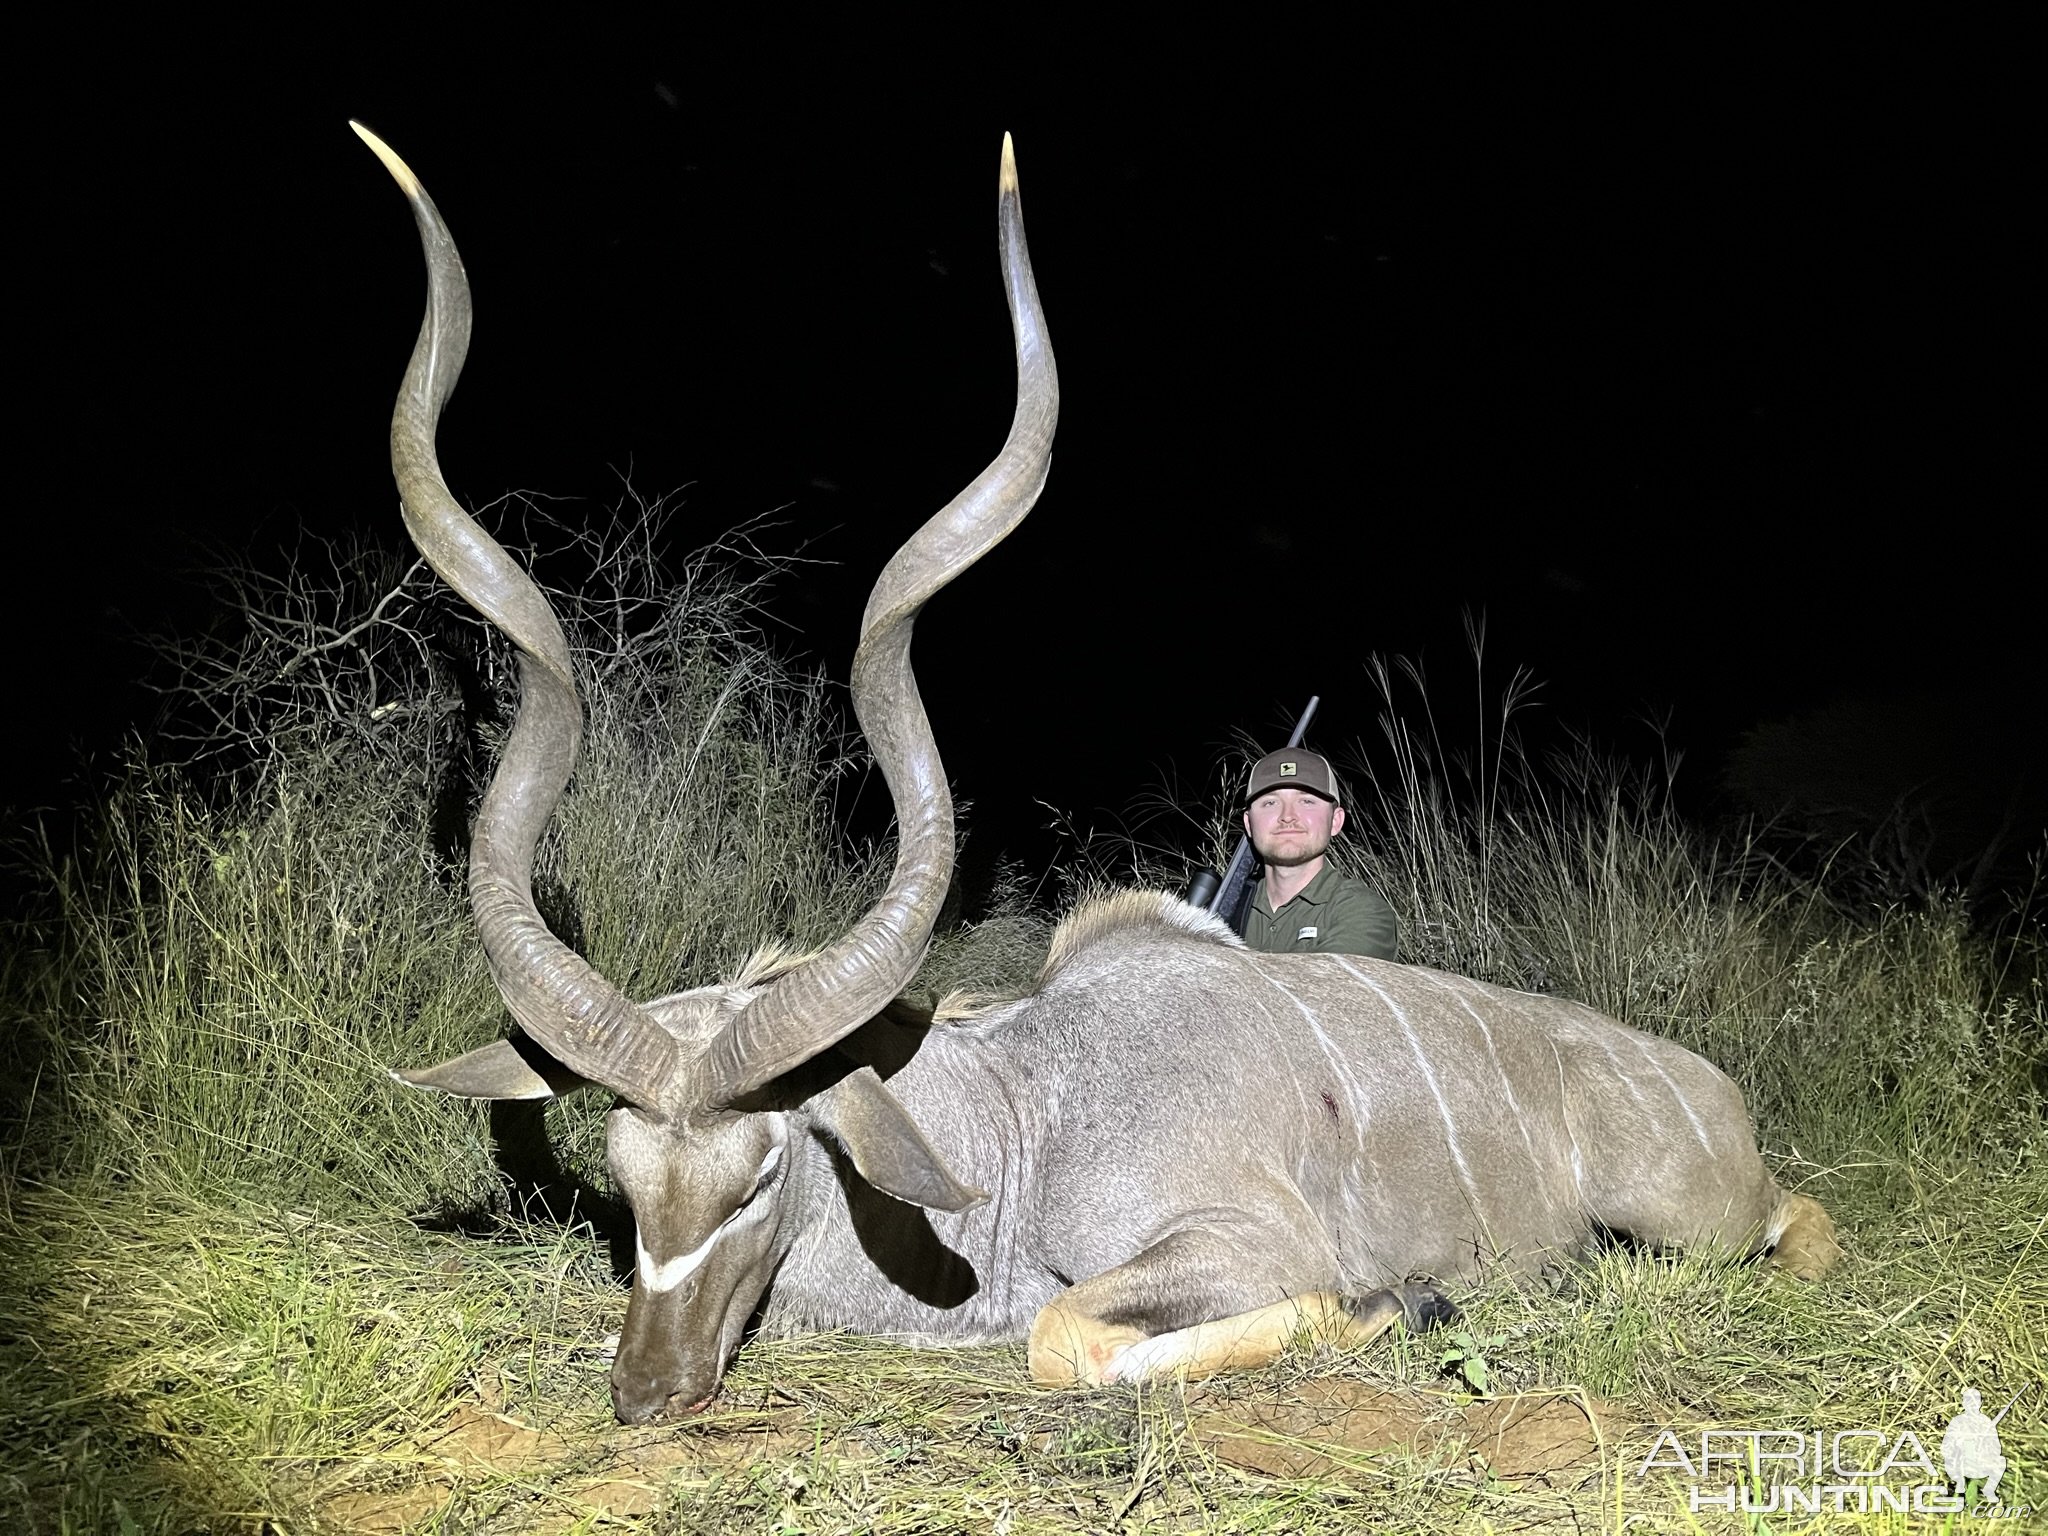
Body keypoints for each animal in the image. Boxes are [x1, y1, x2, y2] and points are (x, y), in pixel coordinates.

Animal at [360, 123, 1851, 1433]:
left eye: (762, 1170)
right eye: (624, 1177)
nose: (648, 1391)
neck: (1026, 1121)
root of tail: (1702, 1082)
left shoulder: (1239, 1240)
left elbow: (1065, 1331)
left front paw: (1391, 1305)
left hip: (1695, 1215)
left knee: (1799, 1220)